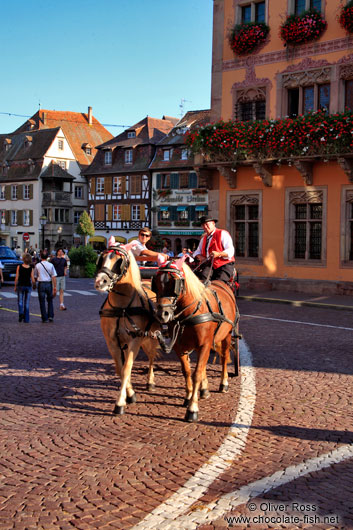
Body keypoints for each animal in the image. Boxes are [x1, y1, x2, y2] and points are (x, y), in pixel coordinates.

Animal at [95, 235, 163, 412]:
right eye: (102, 258)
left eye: (119, 261)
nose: (100, 282)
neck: (122, 308)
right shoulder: (112, 342)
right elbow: (120, 369)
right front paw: (130, 394)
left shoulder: (135, 341)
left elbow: (126, 369)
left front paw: (120, 402)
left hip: (150, 338)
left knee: (152, 357)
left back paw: (150, 381)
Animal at [153, 256, 238, 420]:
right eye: (156, 283)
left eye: (174, 283)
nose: (162, 314)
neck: (190, 313)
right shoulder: (179, 346)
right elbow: (187, 371)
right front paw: (189, 396)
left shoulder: (204, 344)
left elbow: (197, 374)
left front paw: (192, 409)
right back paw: (204, 390)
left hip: (227, 335)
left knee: (224, 358)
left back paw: (223, 383)